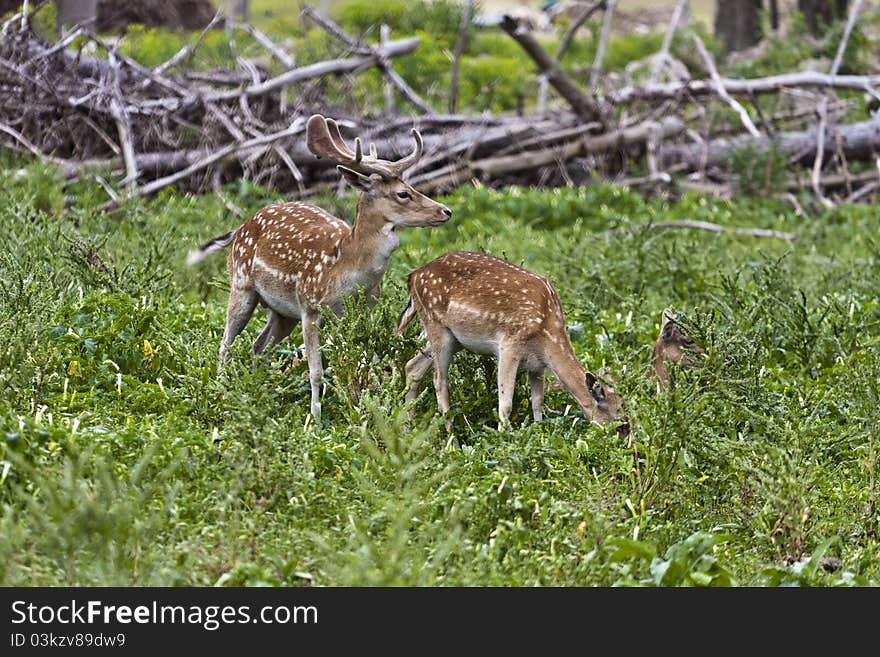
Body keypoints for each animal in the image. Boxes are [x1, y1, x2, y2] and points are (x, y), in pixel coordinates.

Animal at [191, 114, 454, 420]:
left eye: (412, 187)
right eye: (402, 194)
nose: (445, 210)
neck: (347, 270)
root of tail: (240, 227)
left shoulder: (362, 311)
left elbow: (362, 360)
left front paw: (363, 405)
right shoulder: (310, 307)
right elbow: (316, 370)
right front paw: (315, 420)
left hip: (283, 312)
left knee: (259, 346)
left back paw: (260, 391)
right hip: (242, 285)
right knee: (226, 342)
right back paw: (222, 390)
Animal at [396, 251, 628, 430]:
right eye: (620, 423)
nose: (629, 450)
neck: (546, 335)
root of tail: (413, 276)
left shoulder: (537, 366)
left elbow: (537, 402)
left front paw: (538, 432)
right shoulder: (509, 345)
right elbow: (505, 404)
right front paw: (504, 440)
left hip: (449, 338)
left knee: (412, 367)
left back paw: (406, 429)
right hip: (436, 324)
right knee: (439, 381)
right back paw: (452, 439)